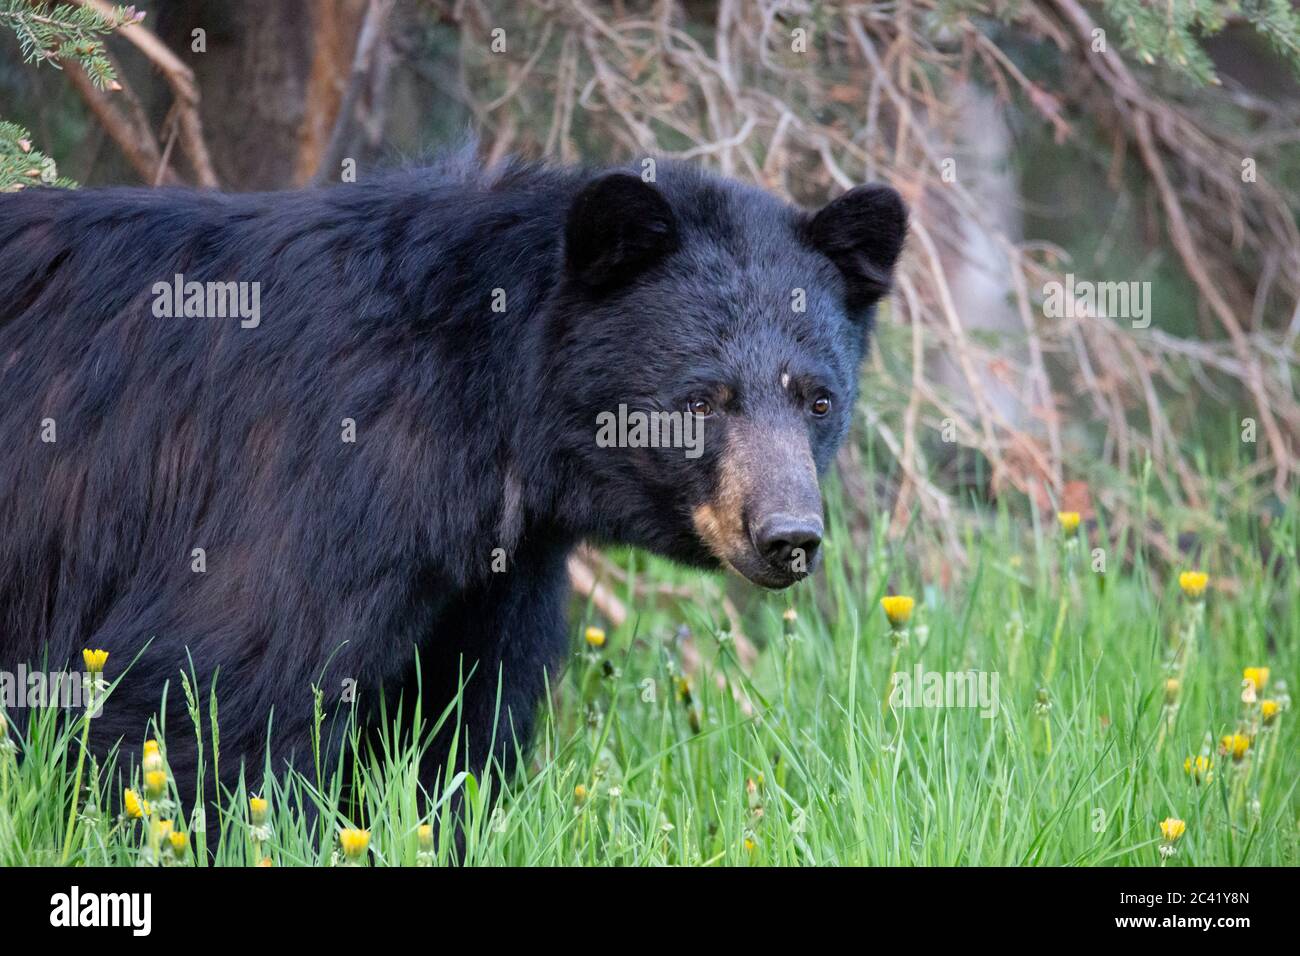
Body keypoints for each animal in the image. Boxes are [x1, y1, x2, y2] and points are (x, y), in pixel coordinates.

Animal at [0, 153, 904, 806]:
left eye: (819, 399)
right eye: (702, 400)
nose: (788, 536)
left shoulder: (495, 568)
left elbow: (456, 717)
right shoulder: (316, 472)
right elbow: (214, 685)